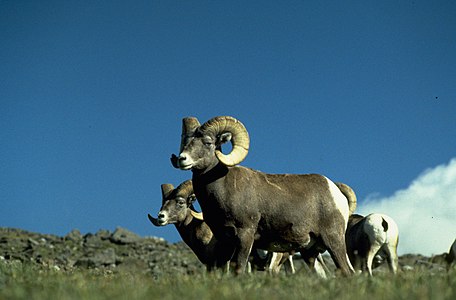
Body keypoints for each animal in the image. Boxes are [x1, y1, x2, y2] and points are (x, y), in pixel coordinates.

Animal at [170, 116, 356, 276]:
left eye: (208, 142)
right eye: (185, 142)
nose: (182, 159)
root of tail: (335, 192)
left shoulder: (245, 234)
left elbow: (239, 268)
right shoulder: (224, 240)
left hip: (333, 241)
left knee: (347, 272)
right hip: (310, 252)